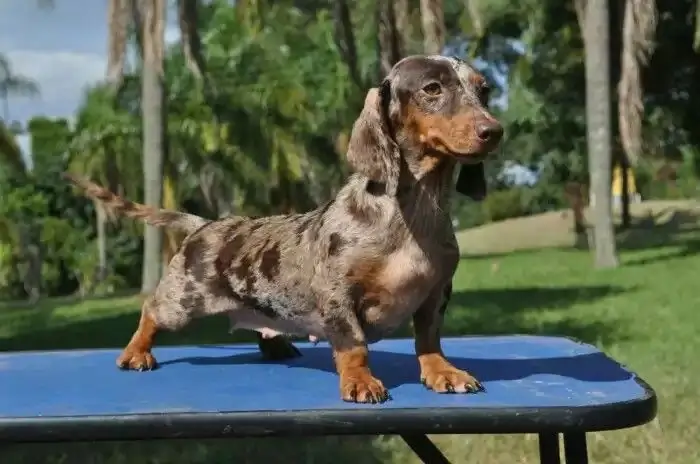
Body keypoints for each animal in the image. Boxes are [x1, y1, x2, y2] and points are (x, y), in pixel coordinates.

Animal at [65, 53, 500, 402]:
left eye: (484, 90)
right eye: (432, 88)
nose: (494, 131)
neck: (413, 214)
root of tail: (205, 224)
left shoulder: (436, 293)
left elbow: (429, 340)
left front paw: (442, 372)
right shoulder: (338, 297)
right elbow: (354, 346)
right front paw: (359, 381)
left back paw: (275, 346)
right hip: (182, 303)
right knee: (151, 312)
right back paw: (135, 352)